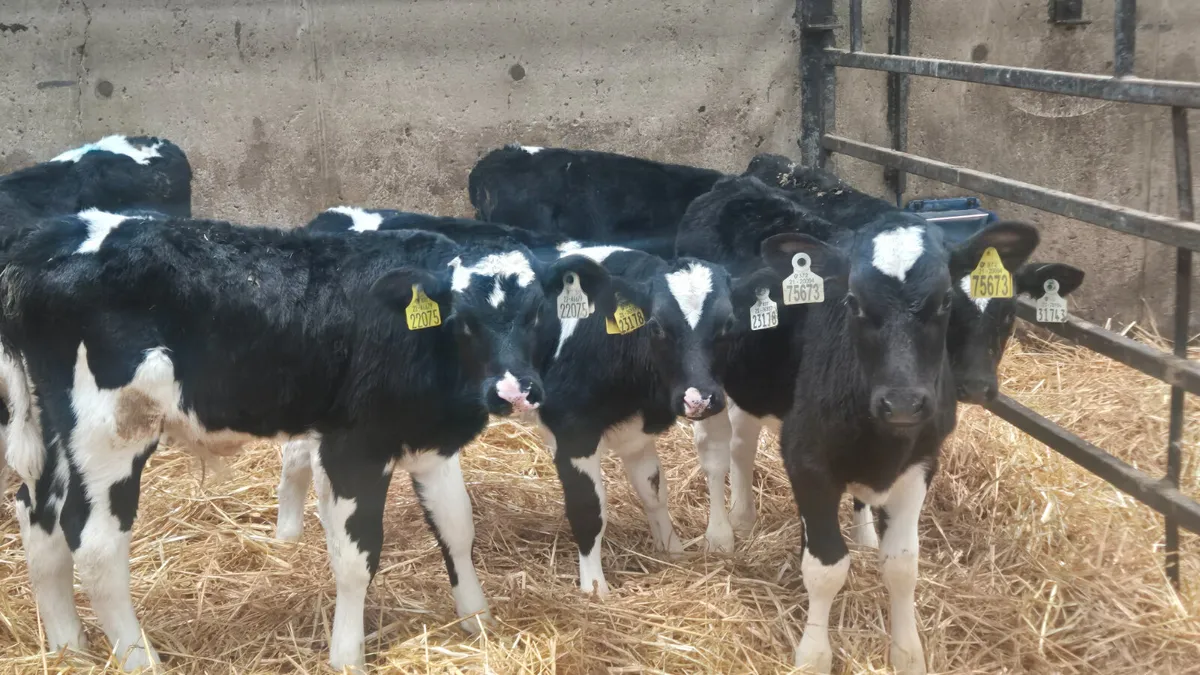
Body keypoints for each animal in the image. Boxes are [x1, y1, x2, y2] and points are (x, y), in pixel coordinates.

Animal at [0, 210, 613, 671]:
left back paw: (70, 649)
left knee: (40, 516)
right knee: (95, 542)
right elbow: (357, 557)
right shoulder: (353, 446)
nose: (514, 391)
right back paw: (138, 660)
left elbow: (458, 527)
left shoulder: (427, 439)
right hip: (110, 432)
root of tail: (43, 237)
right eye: (464, 320)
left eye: (537, 313)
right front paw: (348, 656)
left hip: (56, 434)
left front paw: (477, 621)